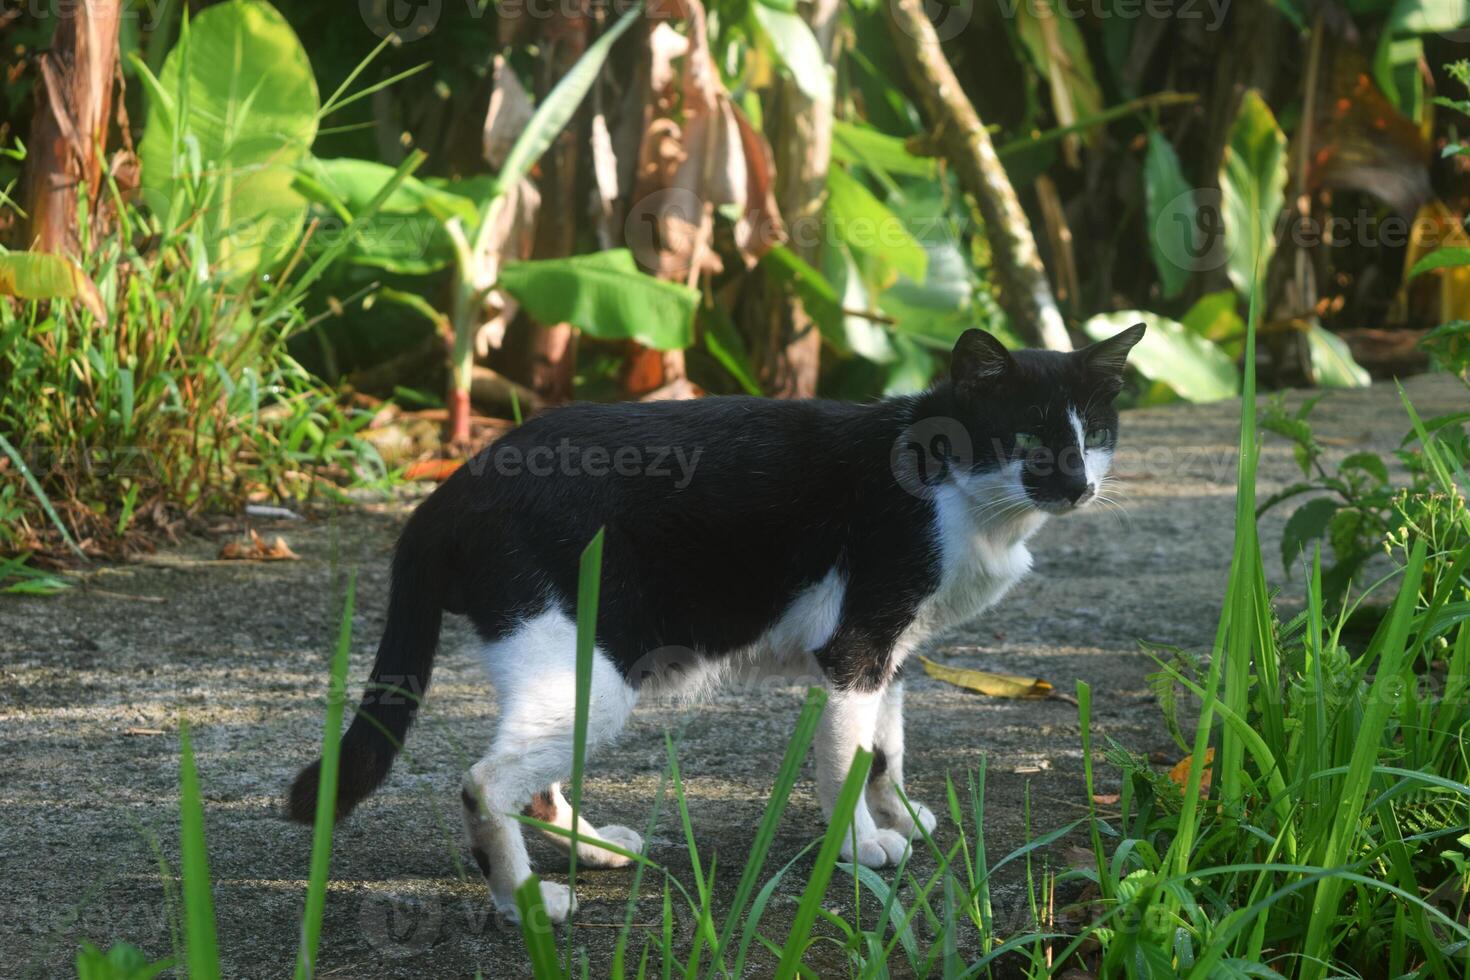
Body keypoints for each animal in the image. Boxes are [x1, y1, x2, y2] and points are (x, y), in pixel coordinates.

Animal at [286, 326, 1146, 922]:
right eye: (1028, 438)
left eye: (1095, 436)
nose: (1077, 484)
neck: (955, 489)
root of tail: (448, 490)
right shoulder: (856, 645)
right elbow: (847, 758)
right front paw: (860, 849)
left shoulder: (896, 650)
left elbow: (886, 752)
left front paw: (903, 819)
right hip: (587, 663)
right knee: (484, 782)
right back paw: (527, 905)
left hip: (581, 657)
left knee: (532, 778)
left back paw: (597, 848)